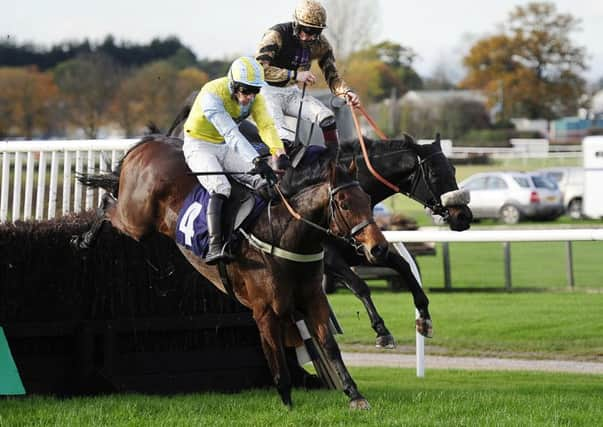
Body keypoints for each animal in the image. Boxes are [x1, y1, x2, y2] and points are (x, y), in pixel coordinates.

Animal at [74, 135, 386, 410]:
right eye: (344, 204)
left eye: (367, 198)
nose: (379, 248)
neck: (282, 233)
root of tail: (148, 144)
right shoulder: (265, 311)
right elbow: (275, 354)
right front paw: (287, 402)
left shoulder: (313, 299)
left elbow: (329, 345)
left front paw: (355, 395)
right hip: (136, 220)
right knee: (106, 205)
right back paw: (83, 239)